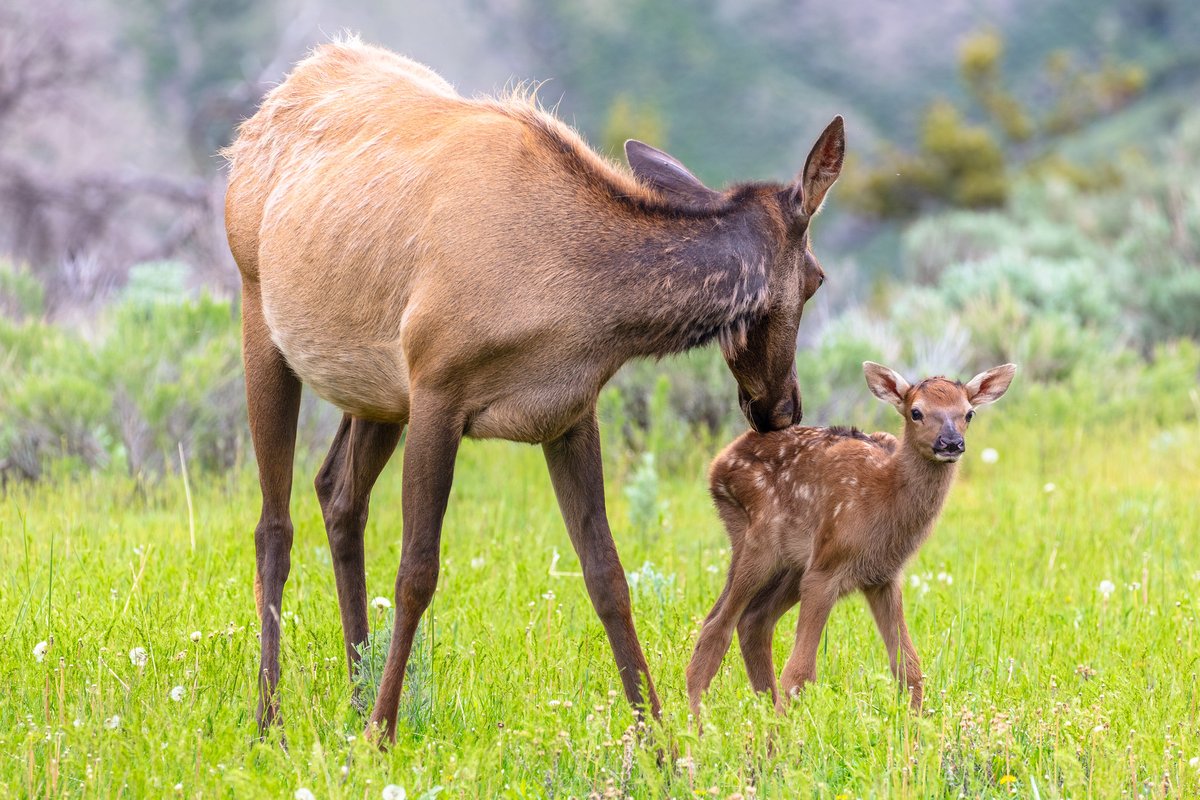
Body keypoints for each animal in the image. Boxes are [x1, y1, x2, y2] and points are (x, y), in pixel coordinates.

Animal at [222, 37, 846, 743]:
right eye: (818, 279)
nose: (783, 408)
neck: (575, 302)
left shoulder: (569, 411)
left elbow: (608, 575)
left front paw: (657, 742)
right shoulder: (437, 385)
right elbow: (417, 572)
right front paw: (384, 733)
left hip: (378, 387)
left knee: (338, 493)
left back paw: (353, 698)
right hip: (260, 309)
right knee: (274, 525)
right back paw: (271, 715)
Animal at [686, 361, 1016, 718]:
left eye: (969, 413)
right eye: (916, 412)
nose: (951, 443)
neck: (882, 500)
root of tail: (717, 465)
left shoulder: (883, 577)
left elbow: (909, 668)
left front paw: (914, 731)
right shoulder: (825, 570)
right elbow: (799, 673)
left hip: (792, 565)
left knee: (752, 621)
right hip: (759, 543)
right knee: (716, 628)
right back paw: (697, 726)